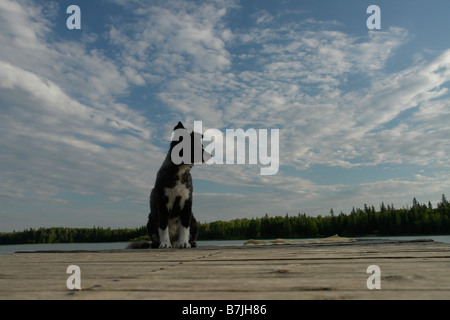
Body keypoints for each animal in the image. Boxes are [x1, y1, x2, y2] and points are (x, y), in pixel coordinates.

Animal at [147, 121, 212, 249]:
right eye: (195, 146)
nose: (211, 155)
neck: (179, 171)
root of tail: (174, 241)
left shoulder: (187, 203)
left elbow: (185, 227)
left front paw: (184, 242)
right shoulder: (162, 203)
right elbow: (163, 226)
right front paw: (165, 243)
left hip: (194, 220)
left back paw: (190, 242)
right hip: (150, 219)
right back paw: (158, 244)